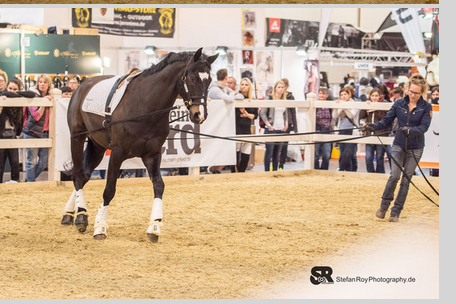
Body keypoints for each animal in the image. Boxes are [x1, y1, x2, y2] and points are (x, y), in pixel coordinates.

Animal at [61, 48, 218, 242]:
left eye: (209, 80)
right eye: (192, 78)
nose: (199, 115)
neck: (145, 105)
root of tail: (83, 85)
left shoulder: (152, 154)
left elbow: (159, 186)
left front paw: (154, 227)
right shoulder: (117, 152)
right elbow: (109, 189)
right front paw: (101, 227)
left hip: (98, 146)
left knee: (84, 176)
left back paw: (70, 213)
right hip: (77, 137)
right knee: (77, 175)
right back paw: (81, 215)